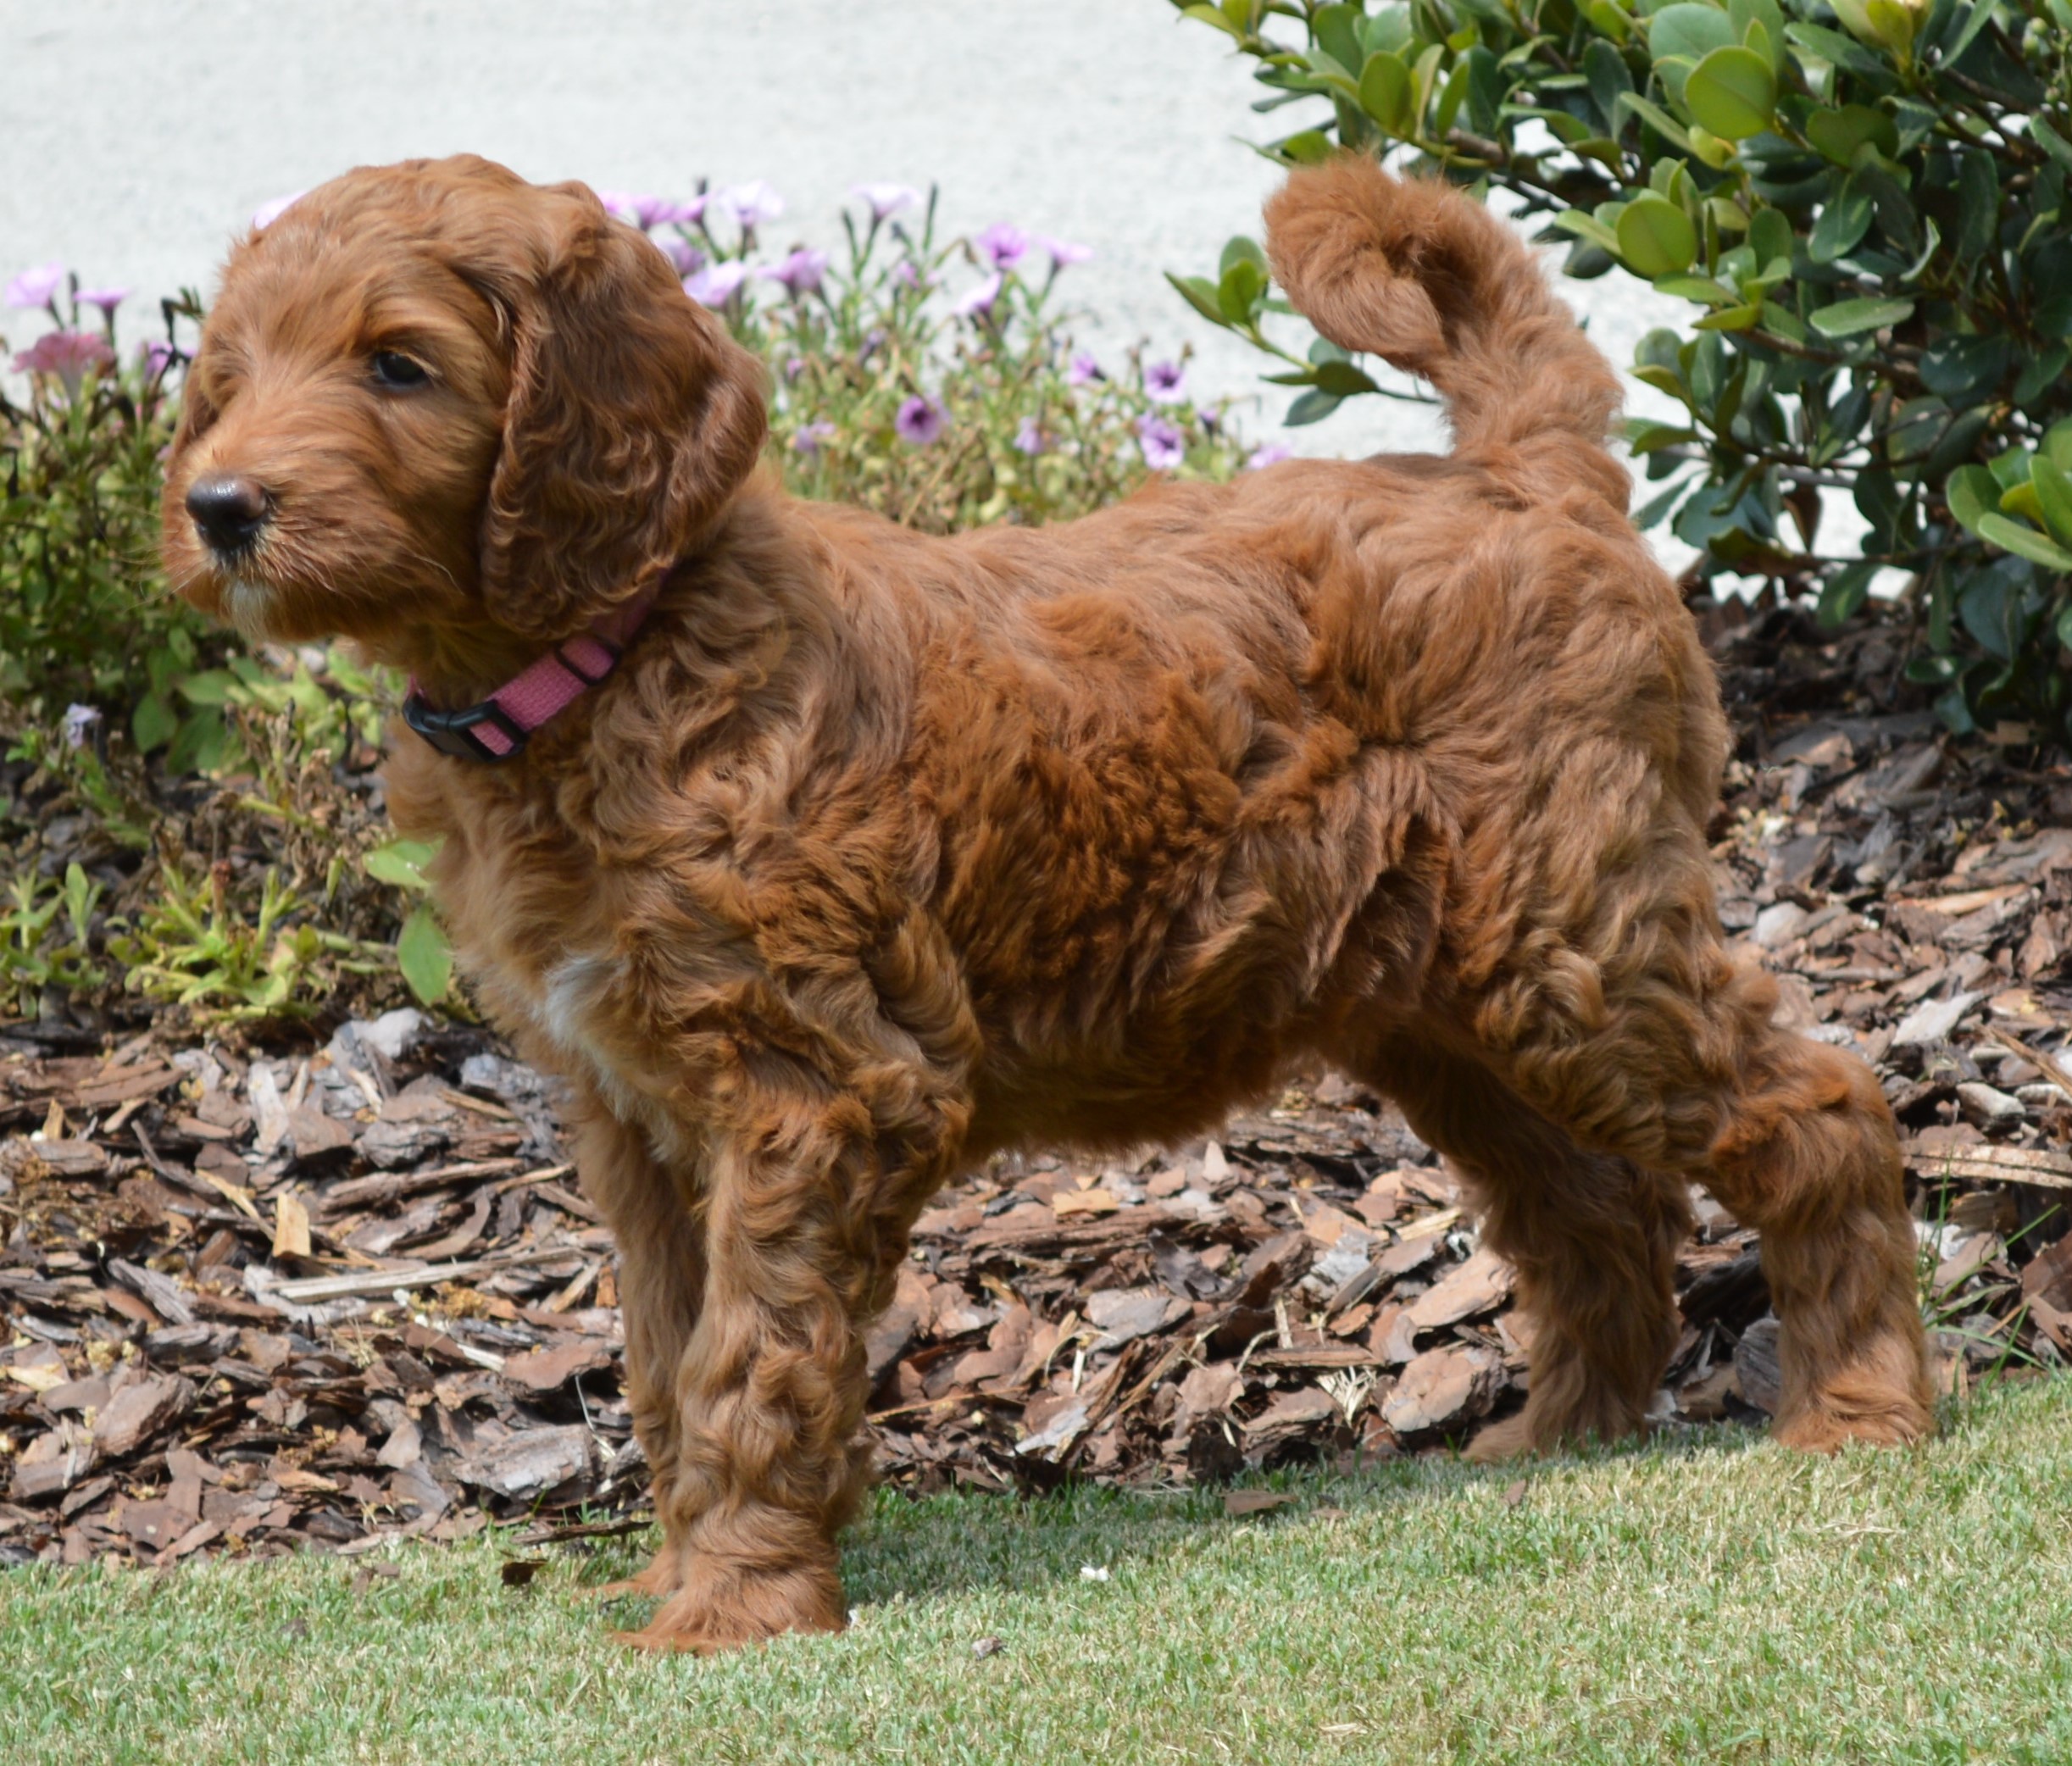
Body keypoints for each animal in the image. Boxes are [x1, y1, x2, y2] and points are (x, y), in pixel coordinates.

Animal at [157, 151, 1922, 1658]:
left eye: (398, 366)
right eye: (229, 375)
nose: (220, 505)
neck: (612, 660)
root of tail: (1519, 471)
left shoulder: (819, 1086)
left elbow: (751, 1361)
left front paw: (732, 1609)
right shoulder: (632, 1108)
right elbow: (667, 1358)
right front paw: (678, 1573)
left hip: (1577, 935)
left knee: (1820, 1106)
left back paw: (1863, 1406)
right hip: (1447, 999)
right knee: (1590, 1202)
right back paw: (1560, 1439)